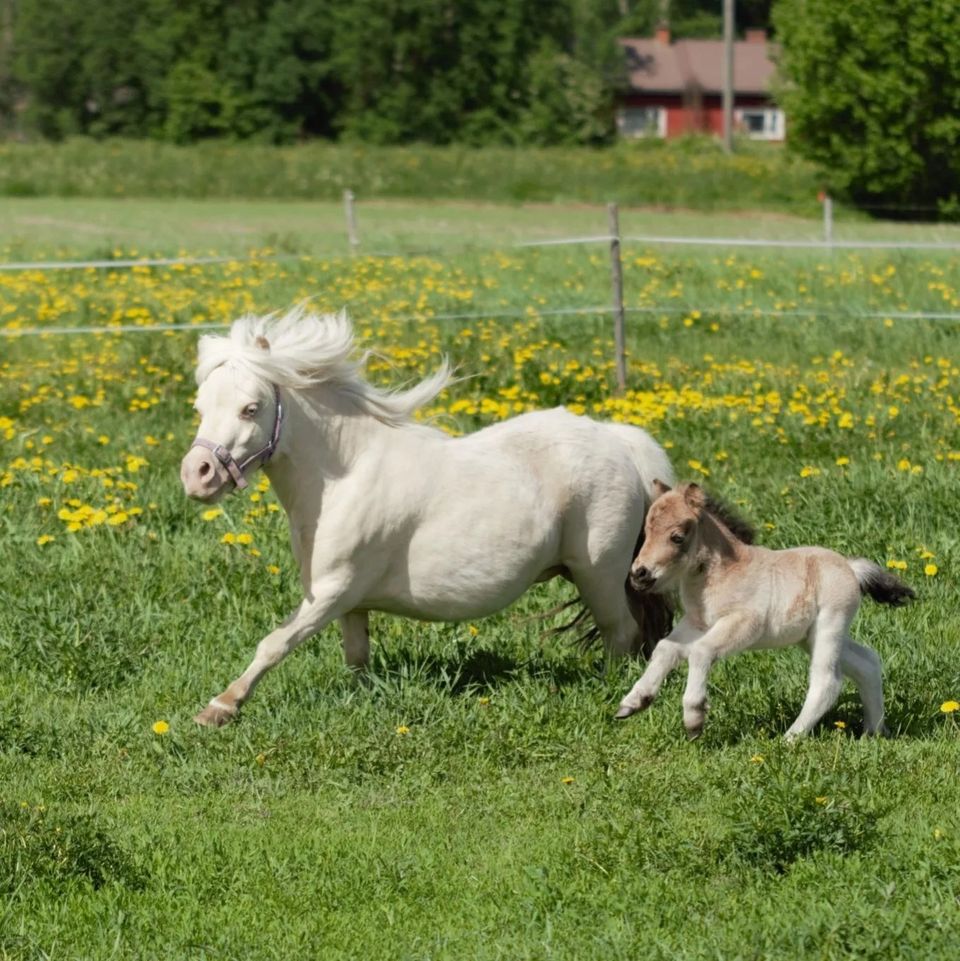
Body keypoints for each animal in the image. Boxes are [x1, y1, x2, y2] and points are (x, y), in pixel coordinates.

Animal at [182, 312, 676, 724]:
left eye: (251, 408)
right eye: (200, 407)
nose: (196, 475)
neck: (345, 476)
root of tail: (620, 440)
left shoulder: (332, 592)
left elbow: (273, 644)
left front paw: (218, 709)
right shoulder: (351, 604)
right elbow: (356, 658)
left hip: (599, 574)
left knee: (623, 634)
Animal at [616, 484, 916, 740]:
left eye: (677, 537)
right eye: (645, 533)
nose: (639, 574)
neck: (723, 573)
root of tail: (851, 568)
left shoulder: (744, 623)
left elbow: (700, 652)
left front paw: (694, 719)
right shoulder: (697, 623)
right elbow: (666, 648)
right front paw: (633, 703)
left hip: (830, 625)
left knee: (827, 682)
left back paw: (791, 738)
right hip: (809, 636)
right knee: (868, 662)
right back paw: (875, 731)